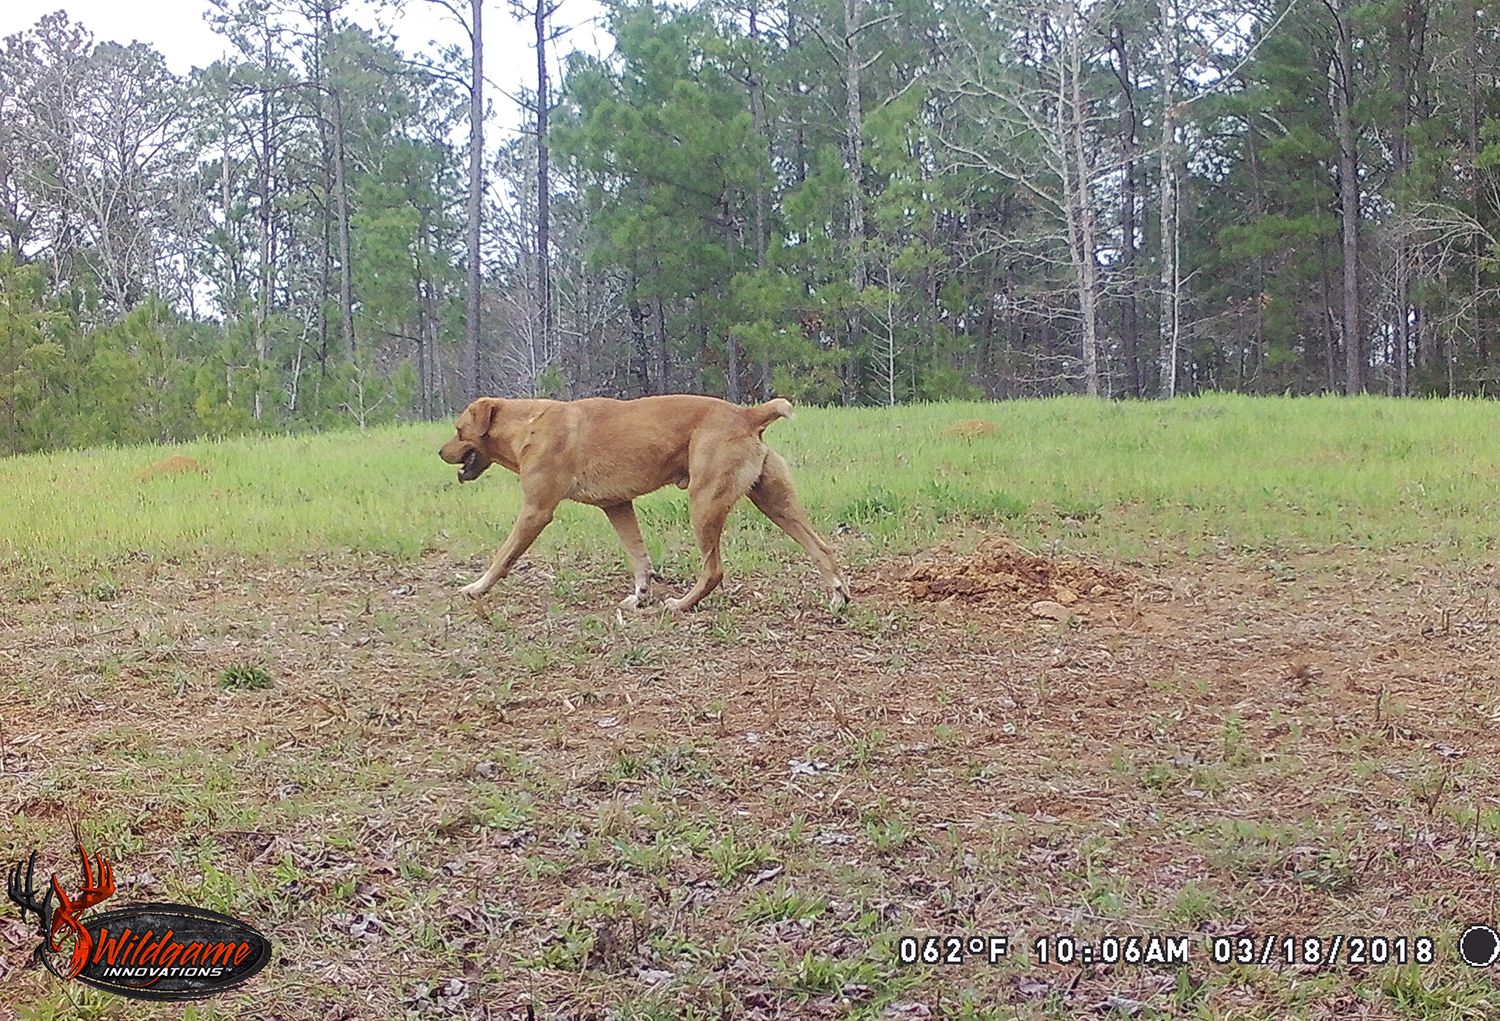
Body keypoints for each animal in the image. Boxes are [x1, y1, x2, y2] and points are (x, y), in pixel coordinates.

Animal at [438, 392, 852, 608]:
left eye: (458, 430)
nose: (439, 452)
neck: (528, 425)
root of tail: (748, 414)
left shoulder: (536, 511)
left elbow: (503, 556)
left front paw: (476, 587)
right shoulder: (617, 506)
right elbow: (638, 557)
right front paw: (638, 596)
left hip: (704, 502)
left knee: (713, 570)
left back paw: (683, 604)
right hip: (775, 502)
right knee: (823, 548)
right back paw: (837, 596)